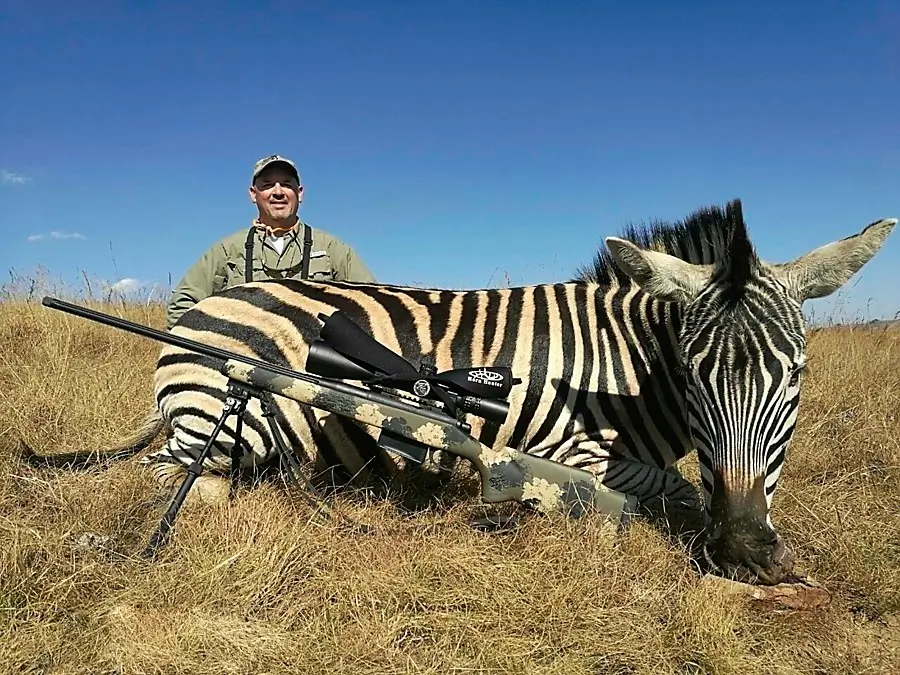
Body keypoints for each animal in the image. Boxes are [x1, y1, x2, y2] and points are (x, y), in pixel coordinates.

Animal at [24, 198, 896, 584]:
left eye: (796, 373)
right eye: (692, 370)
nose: (747, 549)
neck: (626, 366)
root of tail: (195, 315)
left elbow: (683, 488)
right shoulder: (570, 448)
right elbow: (660, 491)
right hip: (225, 420)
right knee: (182, 481)